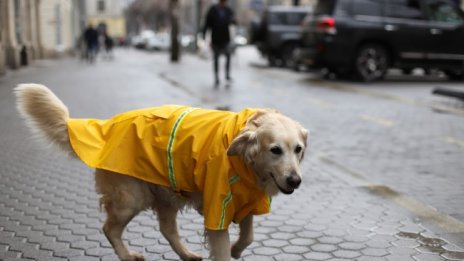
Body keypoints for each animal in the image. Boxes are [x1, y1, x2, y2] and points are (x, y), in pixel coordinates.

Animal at [13, 84, 308, 260]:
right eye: (275, 150)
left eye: (298, 149)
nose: (295, 181)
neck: (245, 164)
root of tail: (106, 127)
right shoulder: (217, 210)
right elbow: (224, 248)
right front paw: (230, 250)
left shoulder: (245, 201)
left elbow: (248, 235)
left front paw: (237, 249)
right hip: (131, 197)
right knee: (109, 228)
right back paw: (127, 255)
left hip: (166, 194)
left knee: (166, 229)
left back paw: (187, 254)